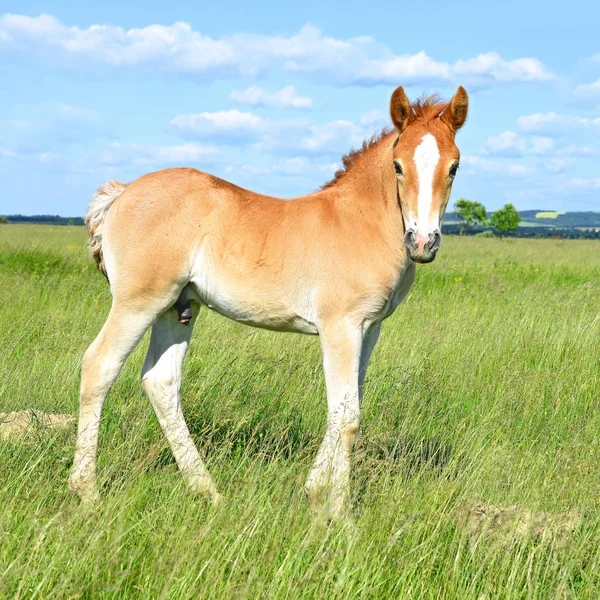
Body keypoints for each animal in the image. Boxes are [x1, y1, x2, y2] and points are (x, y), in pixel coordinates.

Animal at [70, 85, 468, 520]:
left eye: (454, 167)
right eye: (398, 166)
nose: (422, 243)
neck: (362, 221)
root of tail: (123, 192)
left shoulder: (370, 328)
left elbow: (344, 408)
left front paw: (314, 494)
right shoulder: (340, 326)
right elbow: (347, 415)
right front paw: (341, 515)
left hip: (176, 308)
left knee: (161, 382)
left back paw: (208, 492)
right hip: (139, 302)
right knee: (99, 367)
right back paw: (86, 492)